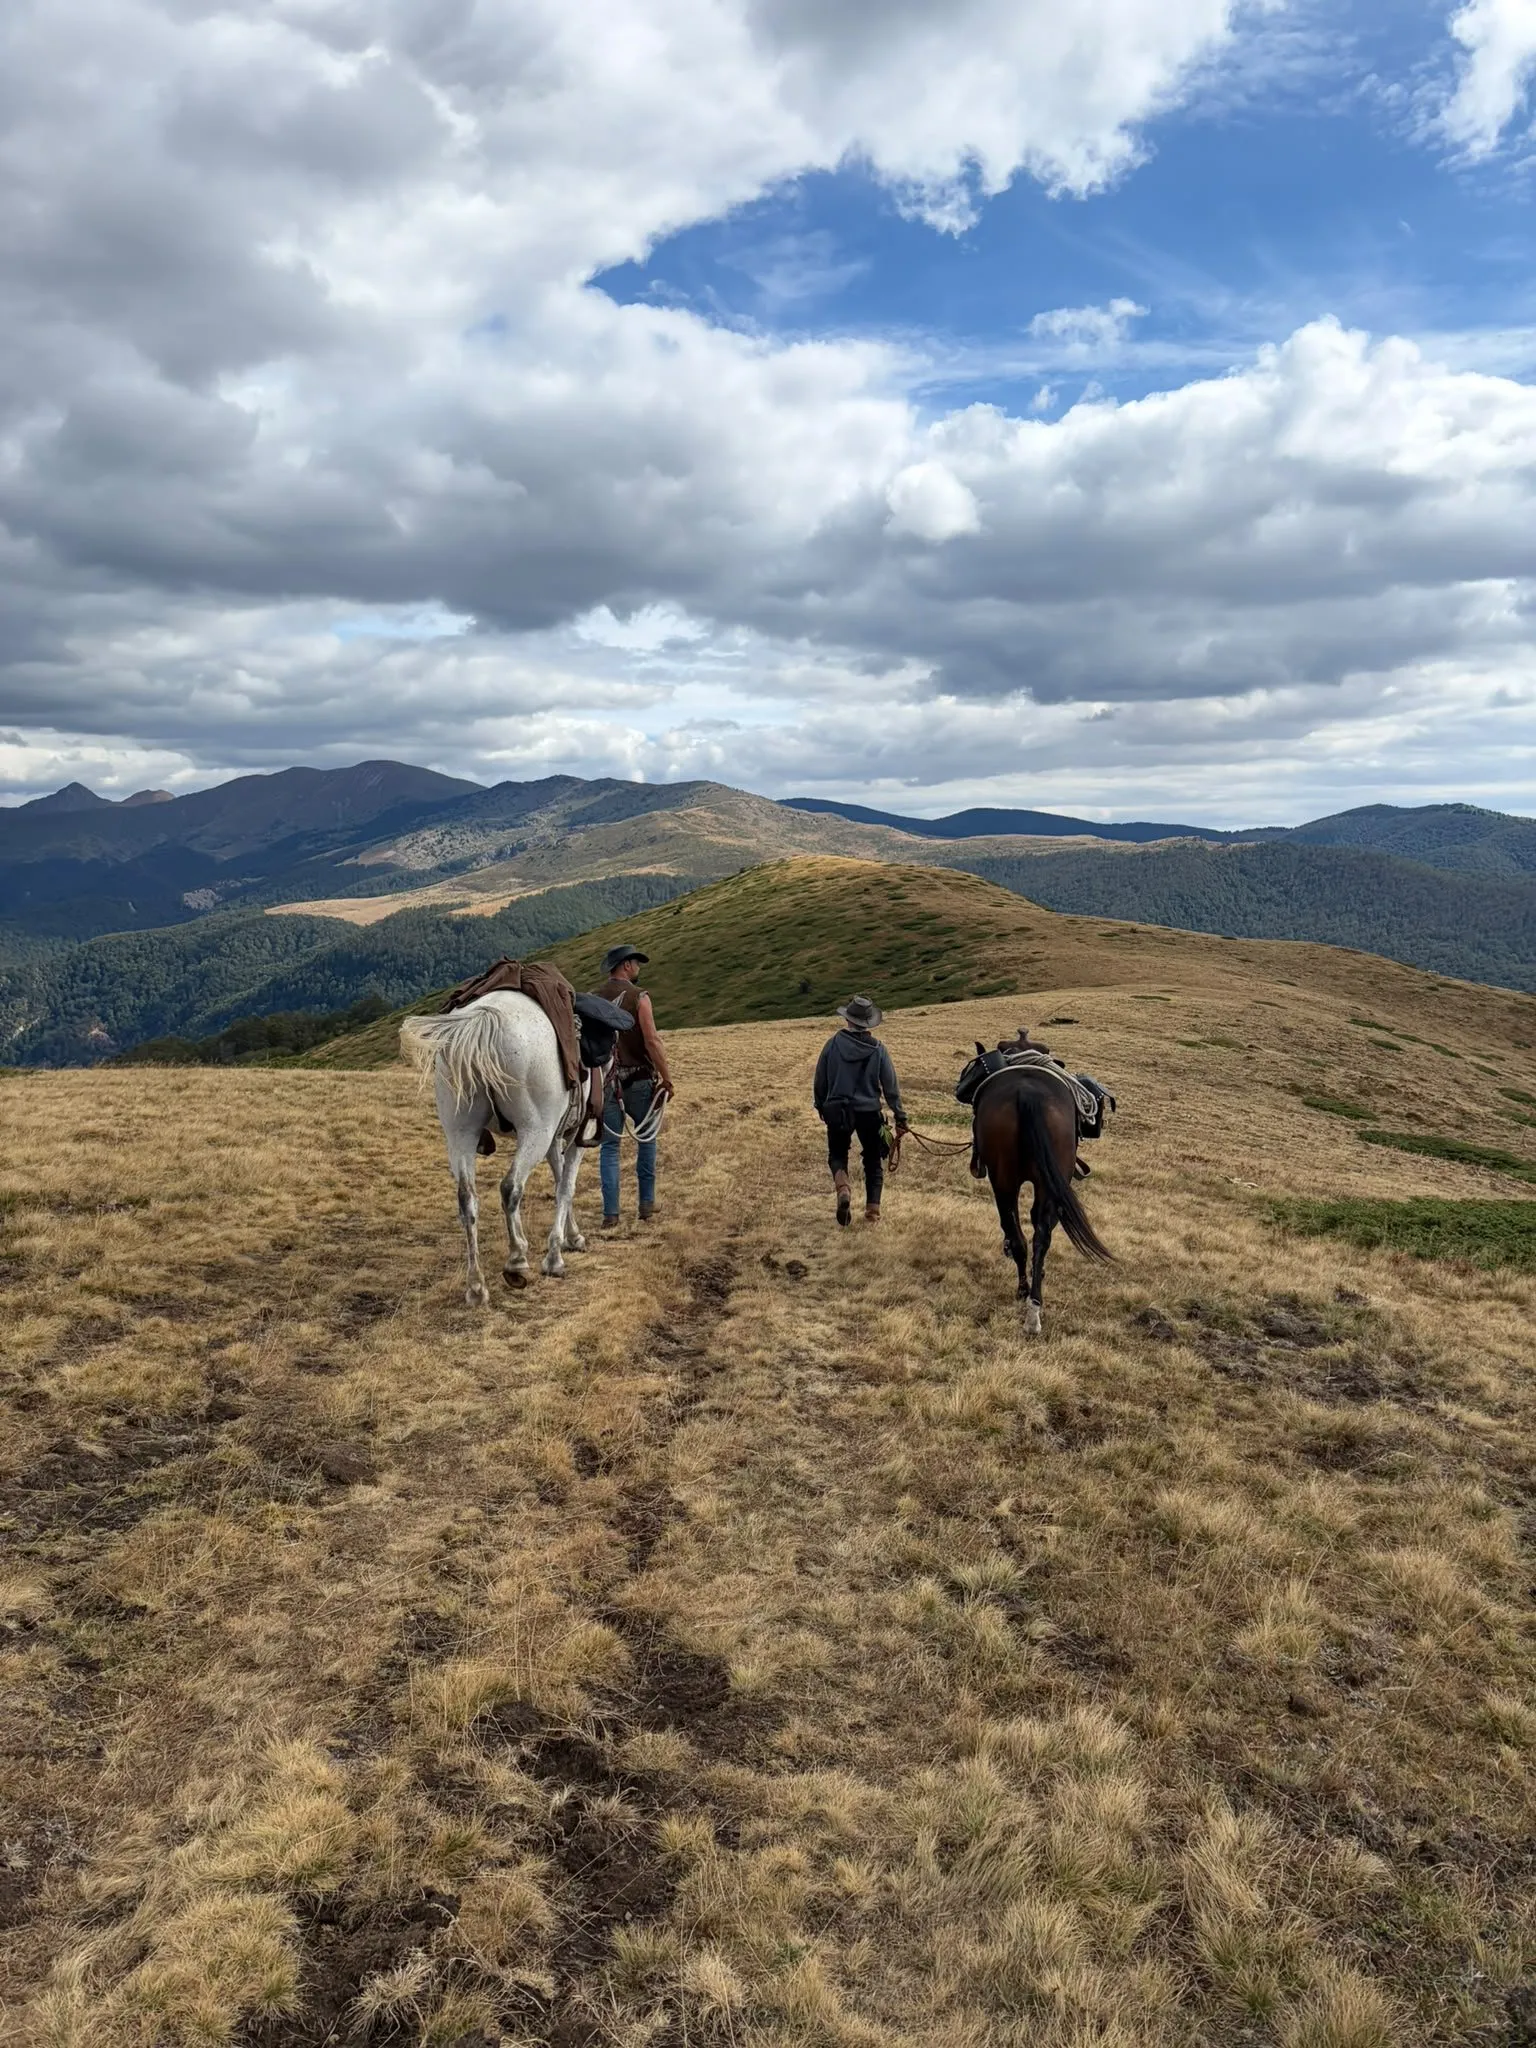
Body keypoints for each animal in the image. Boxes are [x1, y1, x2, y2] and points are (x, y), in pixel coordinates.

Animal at [401, 991, 590, 1304]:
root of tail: (483, 1019)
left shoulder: (555, 1139)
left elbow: (559, 1179)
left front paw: (569, 1236)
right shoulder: (577, 1136)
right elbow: (566, 1187)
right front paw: (557, 1255)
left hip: (462, 1134)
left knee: (467, 1198)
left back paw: (476, 1286)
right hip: (535, 1131)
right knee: (511, 1187)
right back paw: (516, 1260)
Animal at [958, 1045, 1112, 1335]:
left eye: (972, 1067)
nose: (959, 1088)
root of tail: (1028, 1094)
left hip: (1006, 1182)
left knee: (1022, 1234)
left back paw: (1026, 1294)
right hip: (1038, 1183)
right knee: (1039, 1237)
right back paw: (1033, 1304)